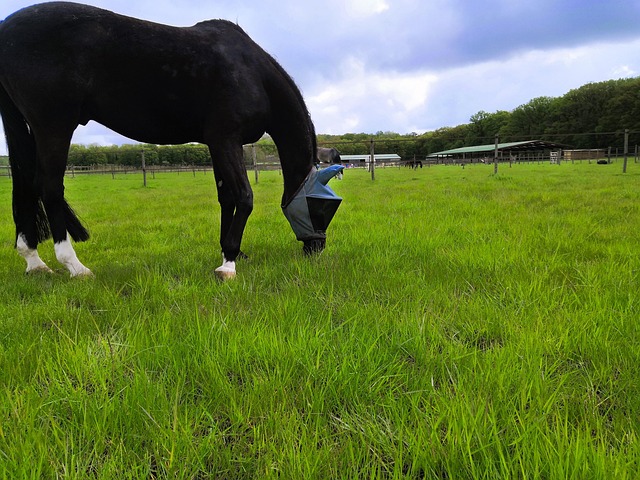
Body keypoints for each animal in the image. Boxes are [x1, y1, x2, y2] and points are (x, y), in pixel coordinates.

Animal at [0, 2, 343, 280]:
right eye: (322, 206)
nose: (317, 248)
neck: (250, 71)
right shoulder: (226, 140)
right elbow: (244, 197)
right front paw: (228, 265)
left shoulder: (216, 144)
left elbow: (227, 198)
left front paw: (230, 252)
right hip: (54, 127)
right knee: (49, 188)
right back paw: (75, 266)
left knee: (27, 185)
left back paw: (35, 262)